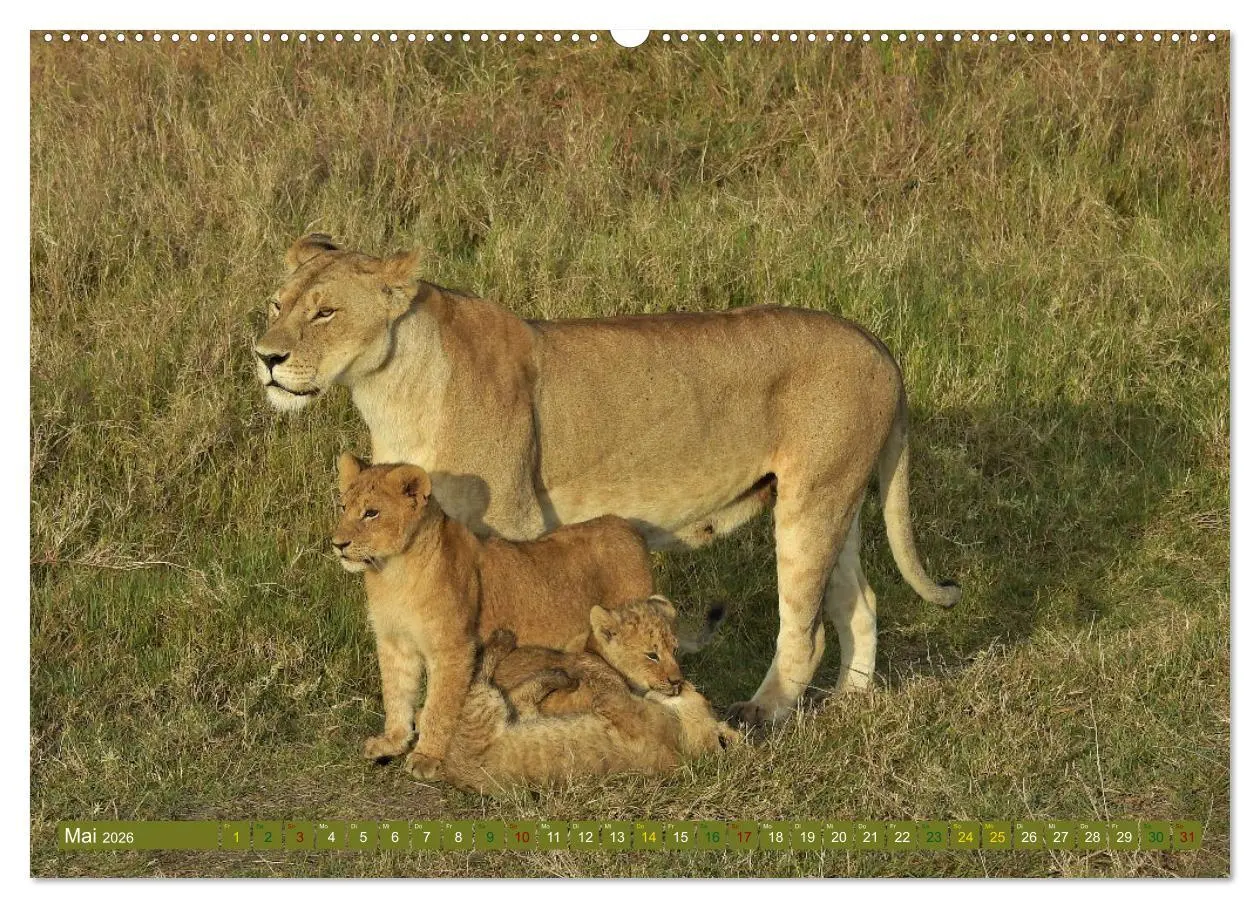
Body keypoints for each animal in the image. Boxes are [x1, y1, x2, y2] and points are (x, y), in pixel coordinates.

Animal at [259, 234, 961, 726]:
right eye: (275, 305)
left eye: (325, 313)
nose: (265, 356)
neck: (389, 387)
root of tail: (876, 343)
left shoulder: (511, 521)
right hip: (835, 499)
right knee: (859, 602)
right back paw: (850, 704)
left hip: (812, 506)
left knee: (803, 627)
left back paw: (761, 712)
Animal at [332, 452, 654, 778]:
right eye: (344, 507)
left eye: (371, 513)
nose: (338, 544)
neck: (393, 572)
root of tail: (625, 526)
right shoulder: (396, 643)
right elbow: (396, 693)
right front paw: (393, 741)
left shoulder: (454, 648)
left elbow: (440, 704)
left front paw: (426, 756)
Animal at [438, 627, 741, 795]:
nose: (681, 683)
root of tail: (452, 773)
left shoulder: (616, 704)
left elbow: (610, 680)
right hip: (517, 713)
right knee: (518, 694)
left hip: (483, 712)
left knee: (482, 678)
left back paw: (508, 643)